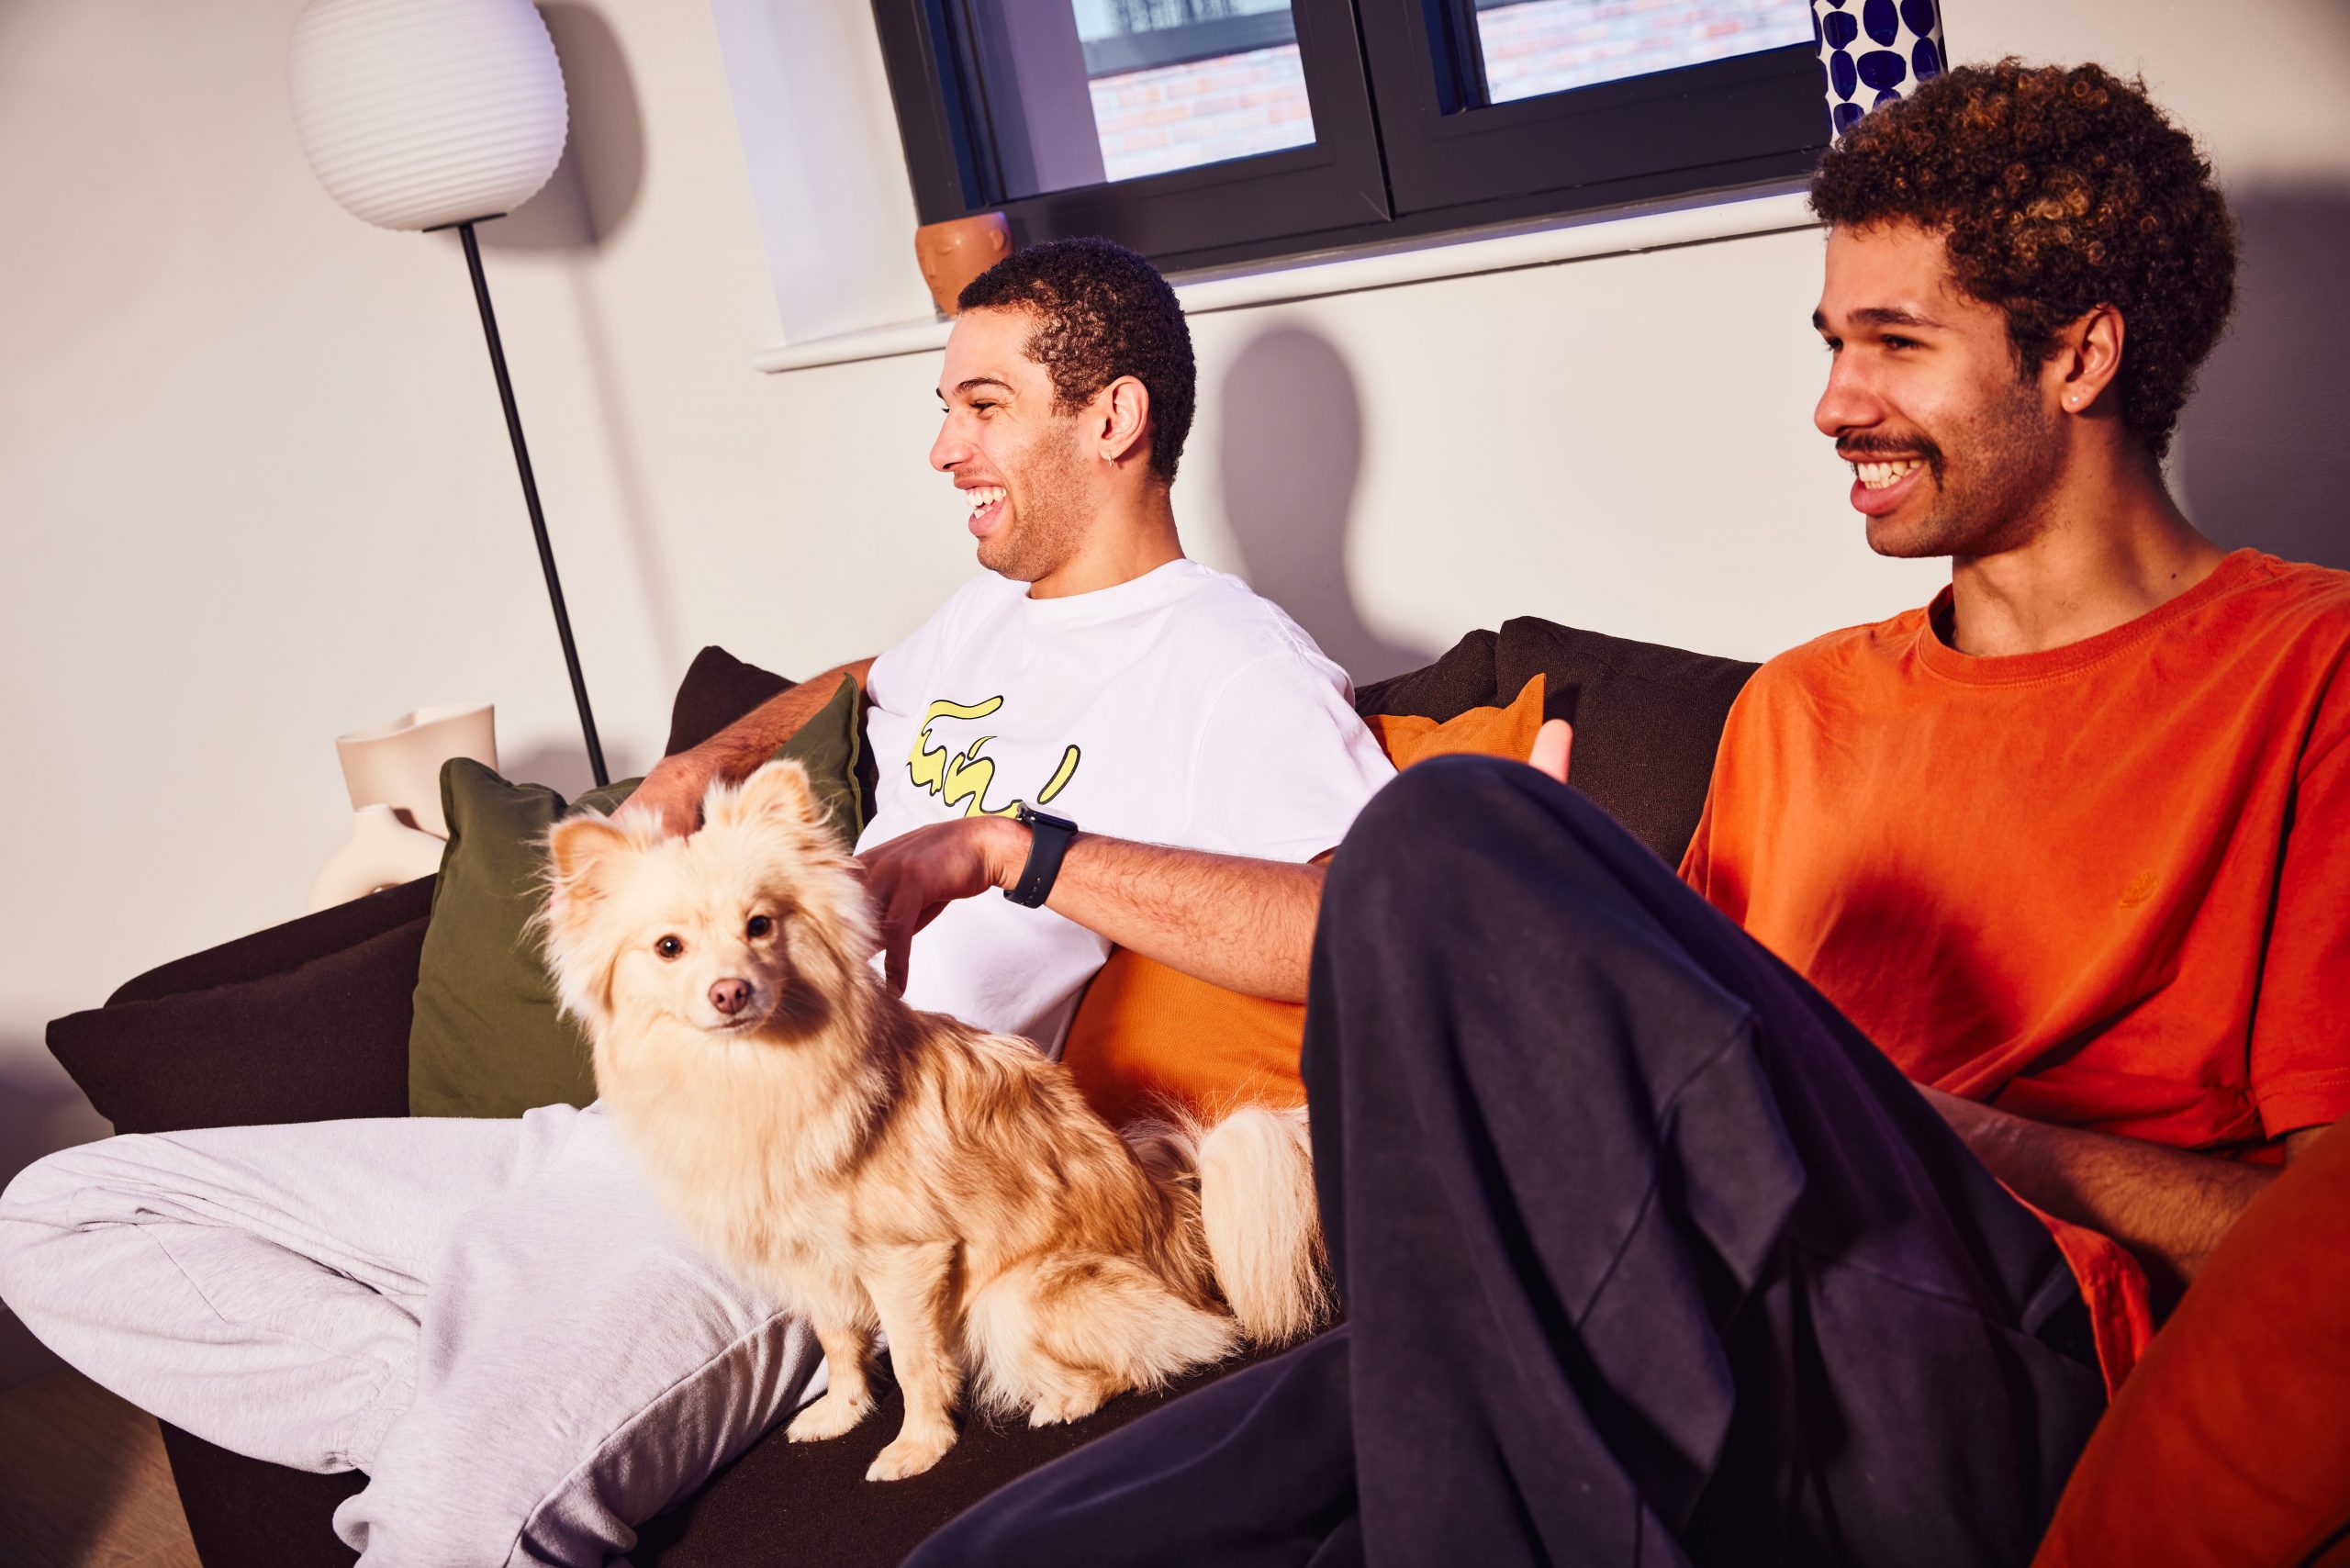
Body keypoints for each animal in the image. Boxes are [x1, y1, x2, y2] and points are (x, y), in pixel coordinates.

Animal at [538, 761, 1335, 1485]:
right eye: (668, 948)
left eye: (760, 926)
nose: (730, 990)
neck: (752, 1072)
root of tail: (1189, 1230)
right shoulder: (811, 1261)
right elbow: (839, 1342)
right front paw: (843, 1413)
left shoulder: (906, 1260)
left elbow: (915, 1361)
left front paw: (916, 1448)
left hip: (1013, 1298)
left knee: (1158, 1356)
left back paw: (1065, 1401)